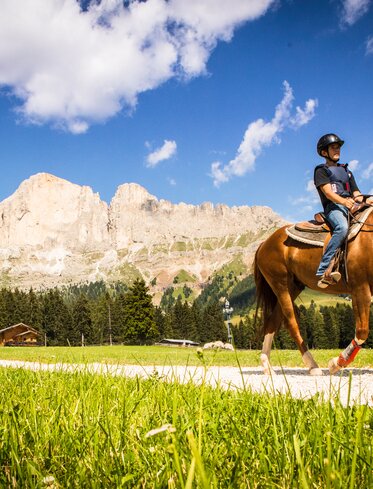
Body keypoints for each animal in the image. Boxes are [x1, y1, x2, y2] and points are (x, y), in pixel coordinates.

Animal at [254, 209, 370, 374]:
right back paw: (313, 365)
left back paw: (267, 366)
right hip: (280, 284)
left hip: (293, 287)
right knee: (291, 323)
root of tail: (264, 243)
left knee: (272, 321)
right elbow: (362, 331)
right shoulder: (360, 287)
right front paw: (336, 363)